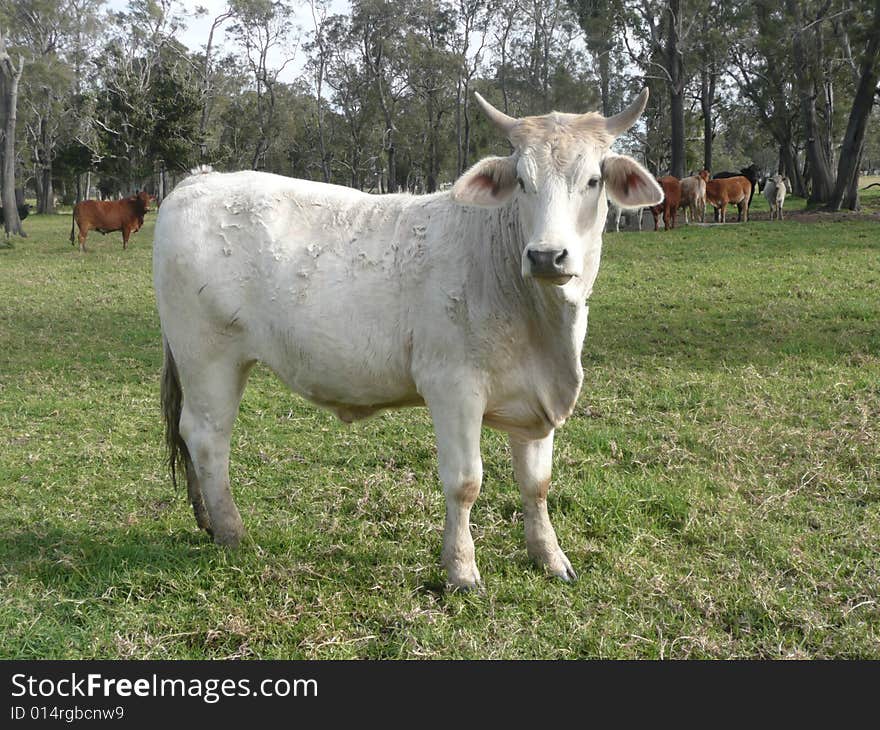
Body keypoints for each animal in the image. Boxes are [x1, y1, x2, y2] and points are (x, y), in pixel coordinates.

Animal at [153, 88, 660, 588]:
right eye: (521, 181)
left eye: (593, 180)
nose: (546, 255)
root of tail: (199, 180)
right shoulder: (452, 386)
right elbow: (465, 481)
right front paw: (461, 568)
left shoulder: (537, 398)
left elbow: (537, 483)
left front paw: (550, 557)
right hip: (208, 356)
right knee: (206, 435)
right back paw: (231, 531)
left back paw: (206, 520)